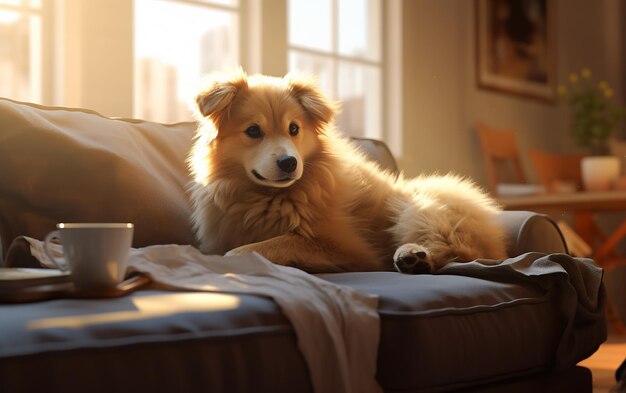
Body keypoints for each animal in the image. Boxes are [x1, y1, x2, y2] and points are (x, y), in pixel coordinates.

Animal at [186, 69, 508, 272]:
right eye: (253, 131)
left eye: (294, 129)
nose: (290, 162)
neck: (267, 198)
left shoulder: (345, 247)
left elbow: (268, 245)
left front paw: (237, 256)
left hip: (417, 206)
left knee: (457, 251)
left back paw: (413, 256)